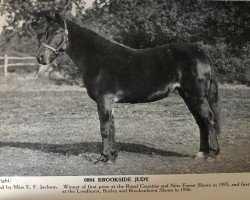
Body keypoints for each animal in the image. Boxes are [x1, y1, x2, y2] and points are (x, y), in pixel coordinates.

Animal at [36, 14, 220, 163]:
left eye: (57, 33)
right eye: (44, 32)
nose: (40, 57)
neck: (97, 57)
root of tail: (201, 52)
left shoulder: (104, 99)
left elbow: (104, 128)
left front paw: (103, 158)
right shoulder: (109, 101)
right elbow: (112, 127)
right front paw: (113, 156)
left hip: (196, 96)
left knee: (209, 119)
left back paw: (212, 154)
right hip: (188, 96)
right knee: (201, 122)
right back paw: (201, 153)